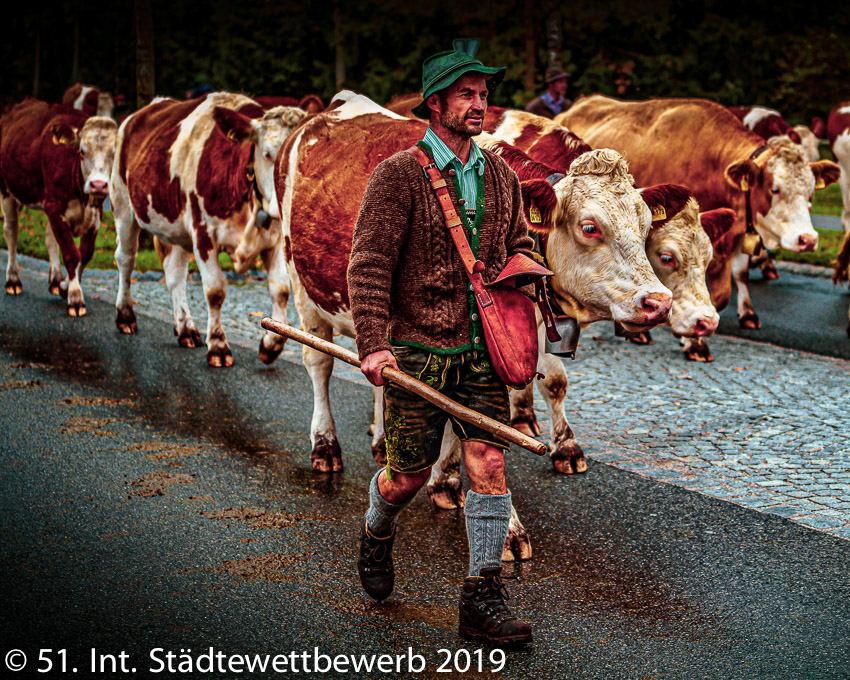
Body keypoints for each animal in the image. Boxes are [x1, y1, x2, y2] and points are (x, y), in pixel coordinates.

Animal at [0, 97, 117, 314]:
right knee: (11, 231)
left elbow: (84, 254)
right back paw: (13, 280)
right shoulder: (54, 206)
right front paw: (75, 297)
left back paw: (55, 279)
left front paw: (64, 285)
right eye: (82, 151)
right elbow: (71, 253)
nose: (98, 185)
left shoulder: (95, 215)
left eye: (114, 154)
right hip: (6, 189)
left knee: (48, 238)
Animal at [111, 92, 304, 366]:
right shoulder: (203, 233)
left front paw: (272, 344)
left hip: (177, 230)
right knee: (126, 259)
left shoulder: (275, 240)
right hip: (123, 206)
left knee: (175, 274)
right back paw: (125, 316)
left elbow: (281, 289)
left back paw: (186, 329)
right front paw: (218, 346)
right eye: (268, 154)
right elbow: (215, 290)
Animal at [274, 89, 680, 472]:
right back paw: (325, 444)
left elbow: (549, 382)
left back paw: (381, 444)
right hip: (303, 283)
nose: (659, 302)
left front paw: (565, 447)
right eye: (590, 227)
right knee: (318, 362)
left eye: (646, 226)